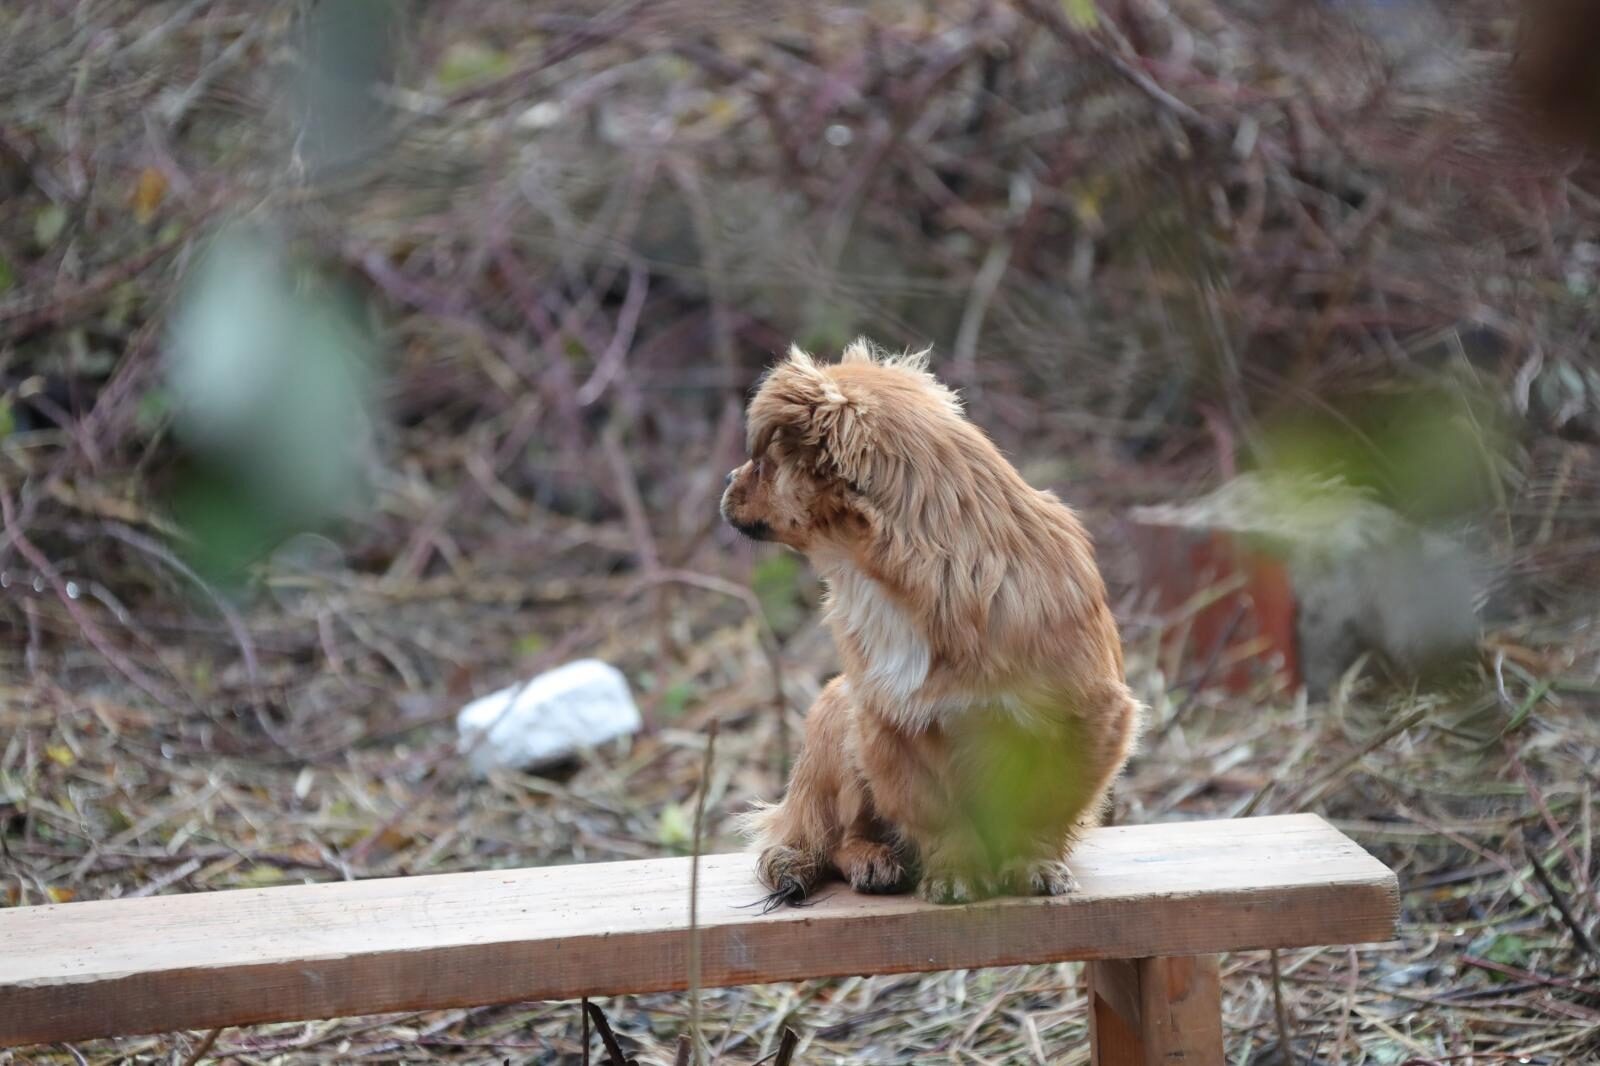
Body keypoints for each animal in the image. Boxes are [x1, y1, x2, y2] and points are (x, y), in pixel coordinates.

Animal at [726, 336, 1139, 902]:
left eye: (763, 464)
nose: (728, 480)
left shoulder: (1091, 719)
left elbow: (1044, 810)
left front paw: (1032, 863)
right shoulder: (887, 724)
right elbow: (934, 814)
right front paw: (955, 872)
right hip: (838, 711)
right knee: (838, 840)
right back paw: (874, 860)